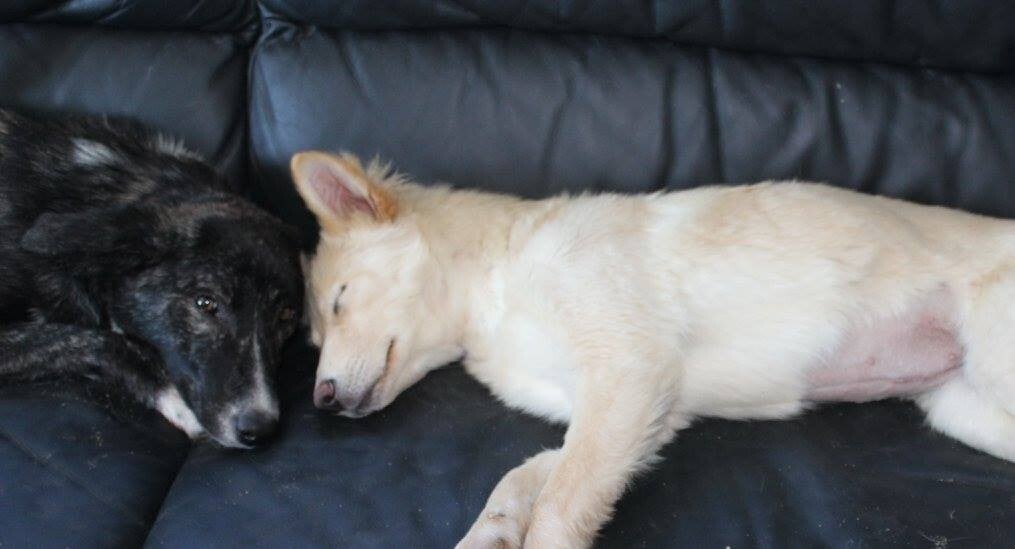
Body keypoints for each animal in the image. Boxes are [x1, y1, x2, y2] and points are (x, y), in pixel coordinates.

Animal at [291, 150, 1015, 547]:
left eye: (341, 301)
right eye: (316, 337)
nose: (320, 400)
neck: (494, 285)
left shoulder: (627, 372)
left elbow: (557, 510)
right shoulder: (630, 414)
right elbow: (523, 478)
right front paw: (487, 534)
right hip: (965, 408)